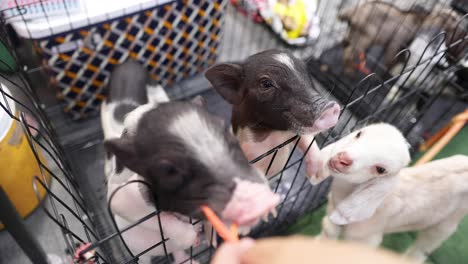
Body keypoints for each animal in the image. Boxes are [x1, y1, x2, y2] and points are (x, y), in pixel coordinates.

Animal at [310, 122, 468, 262]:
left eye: (381, 170)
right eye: (359, 134)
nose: (343, 159)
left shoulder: (365, 238)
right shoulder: (332, 215)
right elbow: (328, 233)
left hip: (447, 222)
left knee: (424, 247)